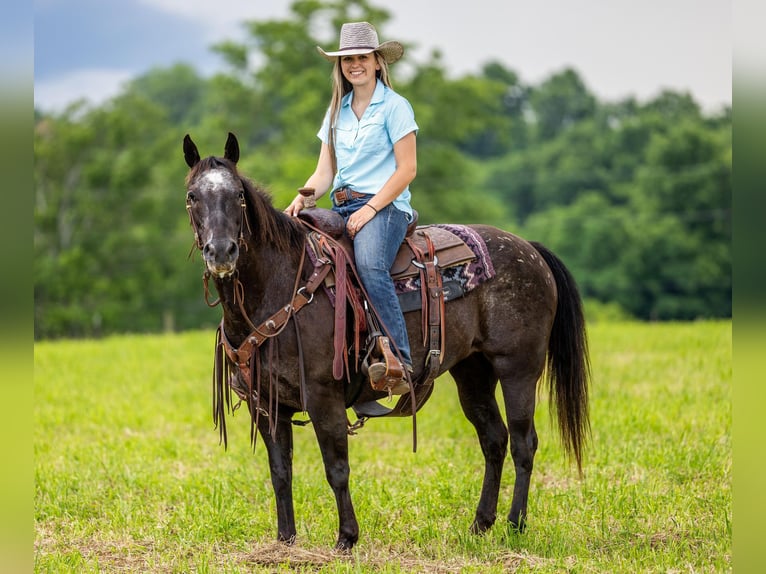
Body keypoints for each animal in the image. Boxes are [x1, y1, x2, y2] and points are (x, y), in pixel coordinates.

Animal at [182, 132, 590, 551]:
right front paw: (285, 541)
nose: (221, 251)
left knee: (524, 443)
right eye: (192, 196)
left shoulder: (324, 396)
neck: (278, 288)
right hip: (472, 373)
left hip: (518, 369)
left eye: (238, 196)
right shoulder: (266, 405)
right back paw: (481, 523)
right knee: (494, 439)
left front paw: (346, 539)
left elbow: (336, 468)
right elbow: (280, 471)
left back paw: (515, 524)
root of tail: (529, 249)